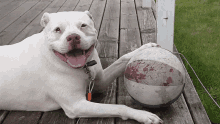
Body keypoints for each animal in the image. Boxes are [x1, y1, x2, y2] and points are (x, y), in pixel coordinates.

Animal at [0, 10, 162, 124]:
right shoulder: (76, 105)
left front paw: (145, 48)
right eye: (57, 29)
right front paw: (142, 115)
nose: (73, 37)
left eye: (83, 25)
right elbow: (118, 107)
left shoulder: (100, 81)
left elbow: (122, 59)